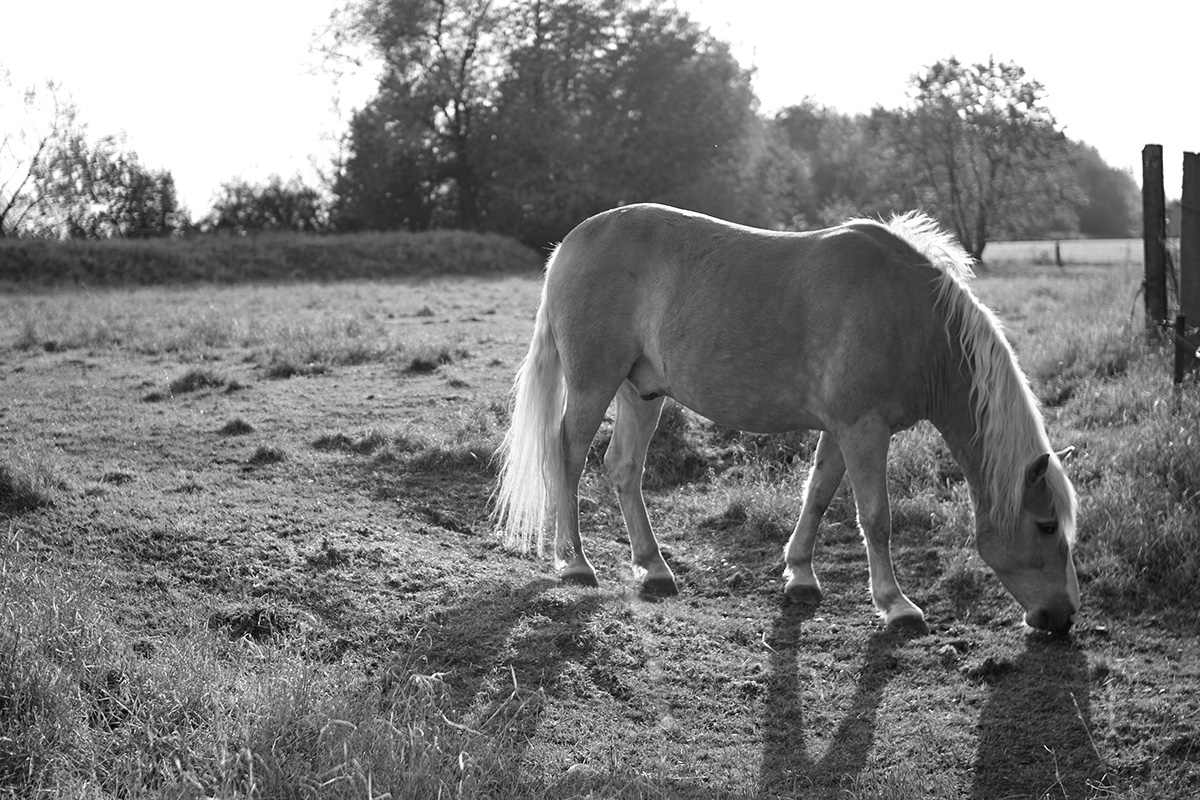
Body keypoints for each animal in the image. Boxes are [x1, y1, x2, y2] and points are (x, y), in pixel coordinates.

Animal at [492, 203, 1084, 633]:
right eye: (1046, 524)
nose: (1062, 617)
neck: (913, 320)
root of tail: (569, 245)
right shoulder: (864, 430)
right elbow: (876, 517)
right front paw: (895, 605)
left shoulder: (842, 429)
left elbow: (818, 495)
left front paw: (799, 574)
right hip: (593, 383)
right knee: (567, 458)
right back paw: (574, 564)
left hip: (642, 392)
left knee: (622, 468)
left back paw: (654, 568)